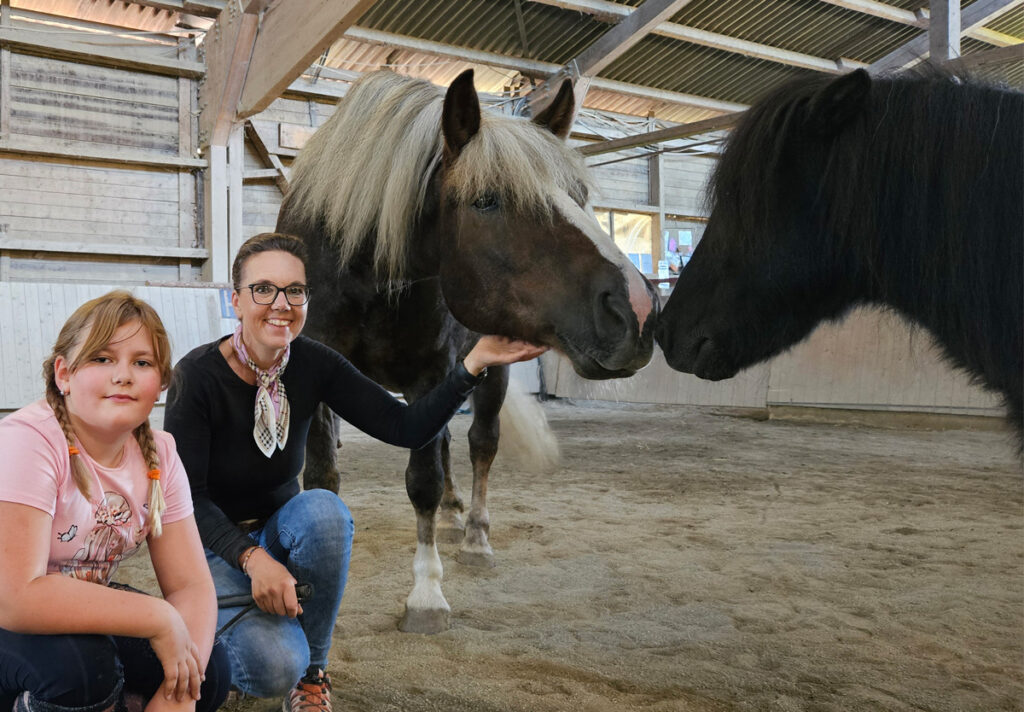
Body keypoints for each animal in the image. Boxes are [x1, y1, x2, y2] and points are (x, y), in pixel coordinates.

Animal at [276, 68, 659, 635]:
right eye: (486, 200)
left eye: (578, 193)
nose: (636, 312)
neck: (367, 266)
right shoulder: (325, 370)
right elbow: (324, 477)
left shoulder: (431, 374)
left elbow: (424, 480)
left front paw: (426, 595)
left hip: (488, 374)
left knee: (480, 444)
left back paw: (474, 533)